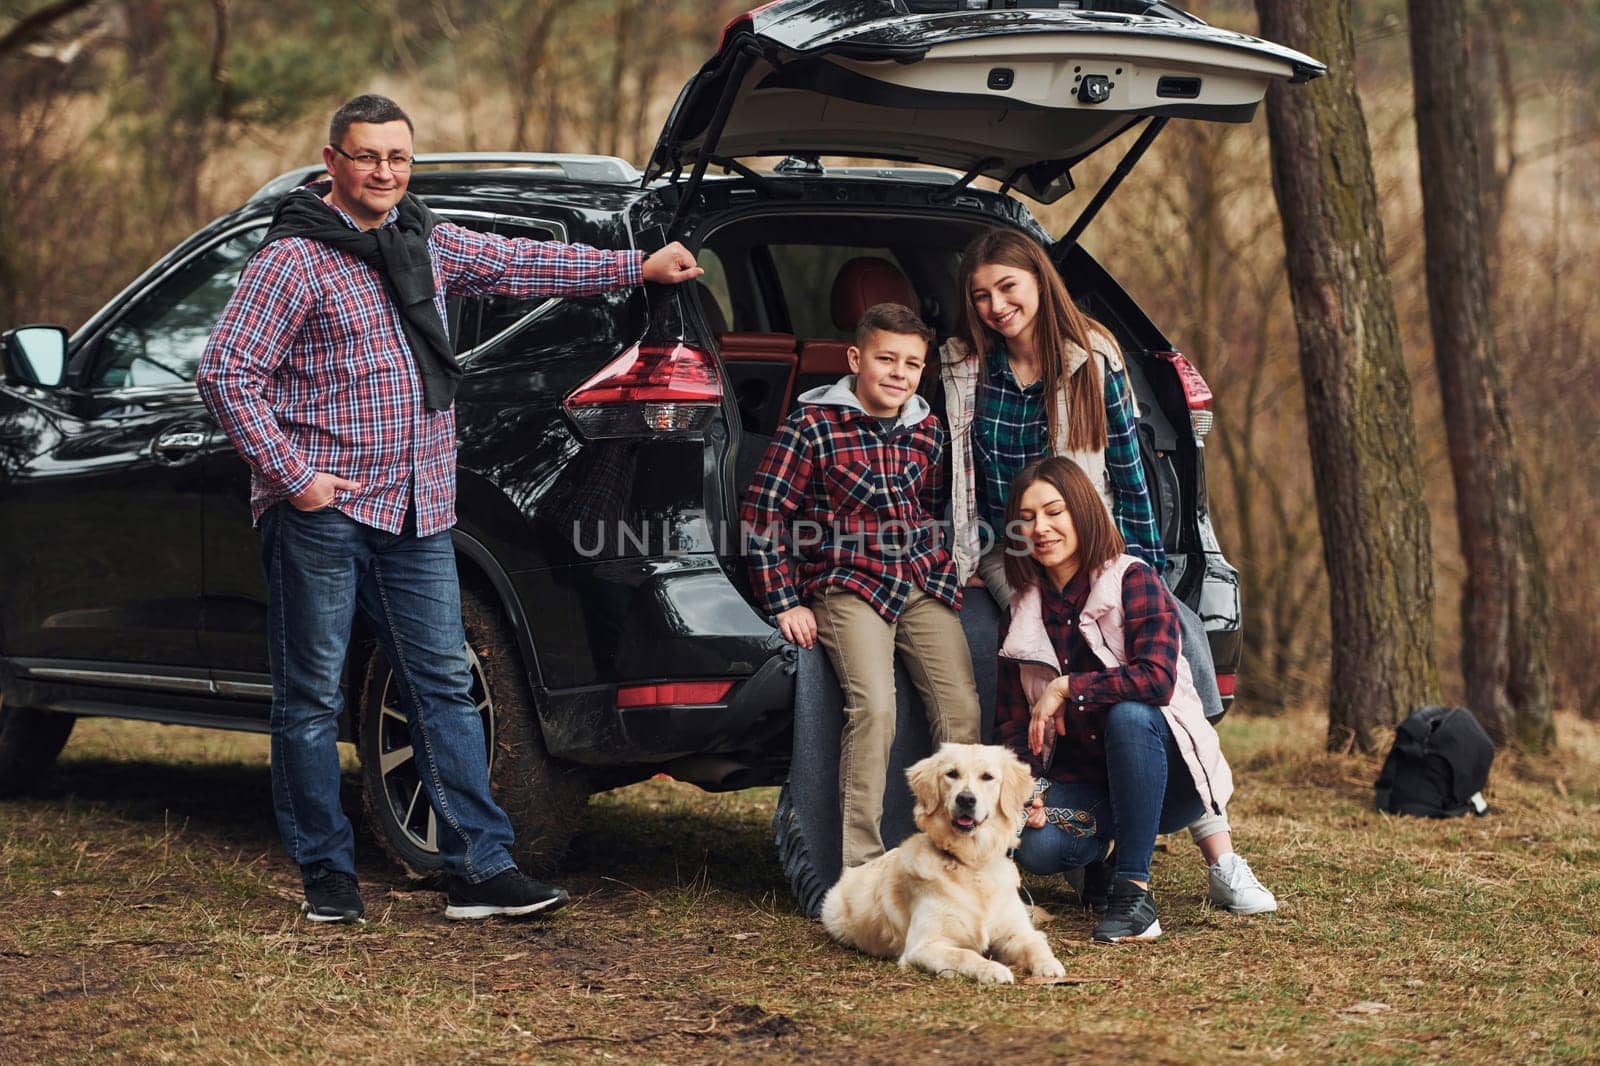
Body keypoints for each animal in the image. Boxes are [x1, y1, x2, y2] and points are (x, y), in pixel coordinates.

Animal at [825, 739, 1062, 979]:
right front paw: (993, 969)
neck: (972, 863)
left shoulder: (1015, 931)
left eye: (987, 777)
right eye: (952, 774)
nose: (965, 799)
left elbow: (1033, 944)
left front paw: (1049, 965)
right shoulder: (924, 945)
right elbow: (965, 955)